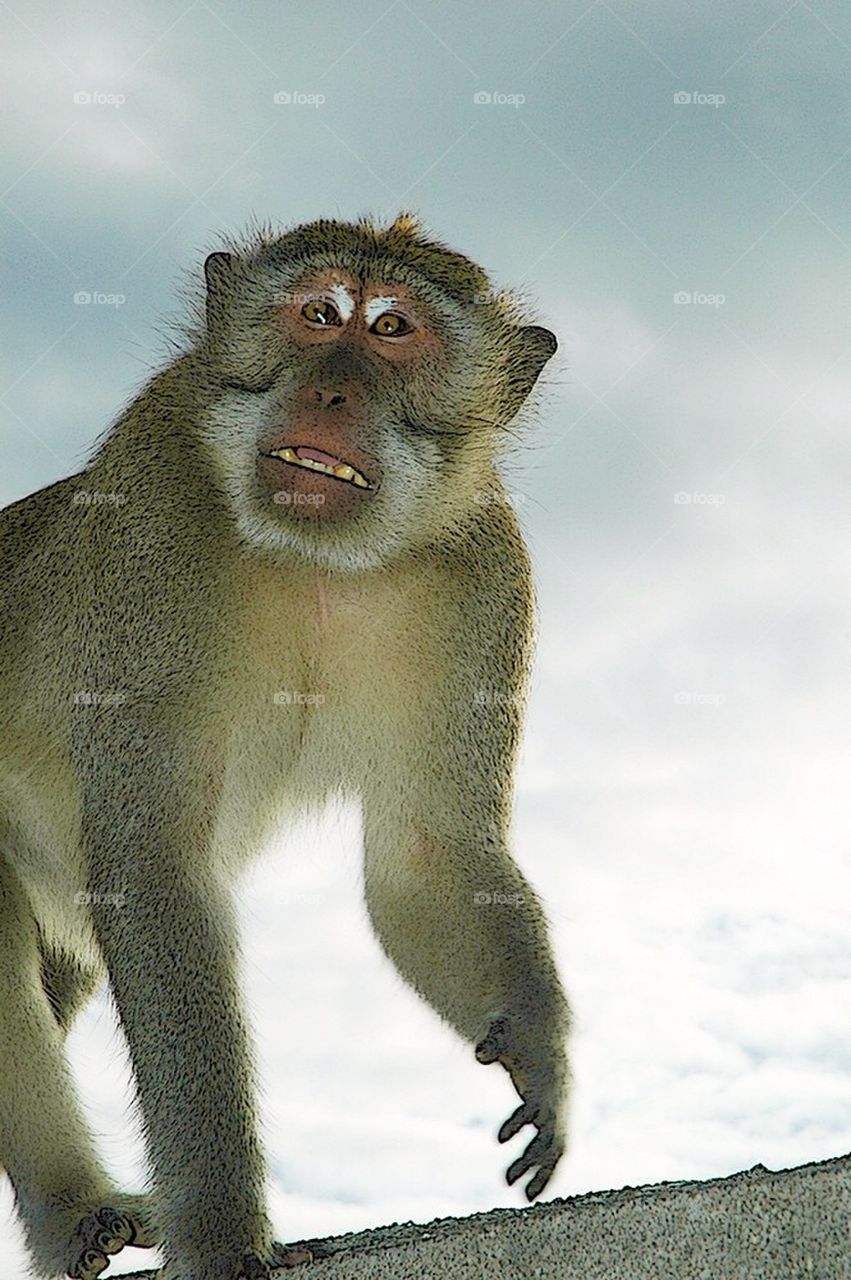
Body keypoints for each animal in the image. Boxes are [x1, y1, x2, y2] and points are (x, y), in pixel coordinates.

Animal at [0, 211, 570, 1280]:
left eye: (391, 329)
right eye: (317, 315)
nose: (330, 389)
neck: (318, 557)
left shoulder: (483, 575)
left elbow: (426, 861)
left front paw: (539, 1055)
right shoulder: (155, 525)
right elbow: (153, 869)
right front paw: (224, 1233)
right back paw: (69, 1208)